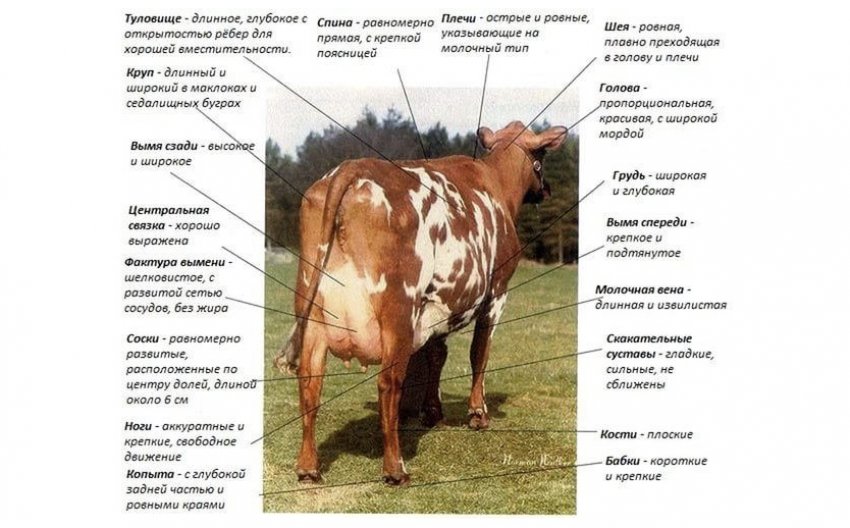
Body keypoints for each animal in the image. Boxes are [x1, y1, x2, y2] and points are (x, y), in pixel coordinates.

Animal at [273, 120, 567, 485]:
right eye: (542, 154)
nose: (547, 189)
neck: (495, 181)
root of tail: (351, 168)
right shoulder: (497, 292)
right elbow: (479, 353)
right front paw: (477, 414)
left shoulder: (437, 306)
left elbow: (436, 355)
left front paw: (432, 412)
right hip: (398, 310)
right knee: (388, 384)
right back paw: (395, 468)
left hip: (312, 310)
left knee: (310, 381)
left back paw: (308, 467)